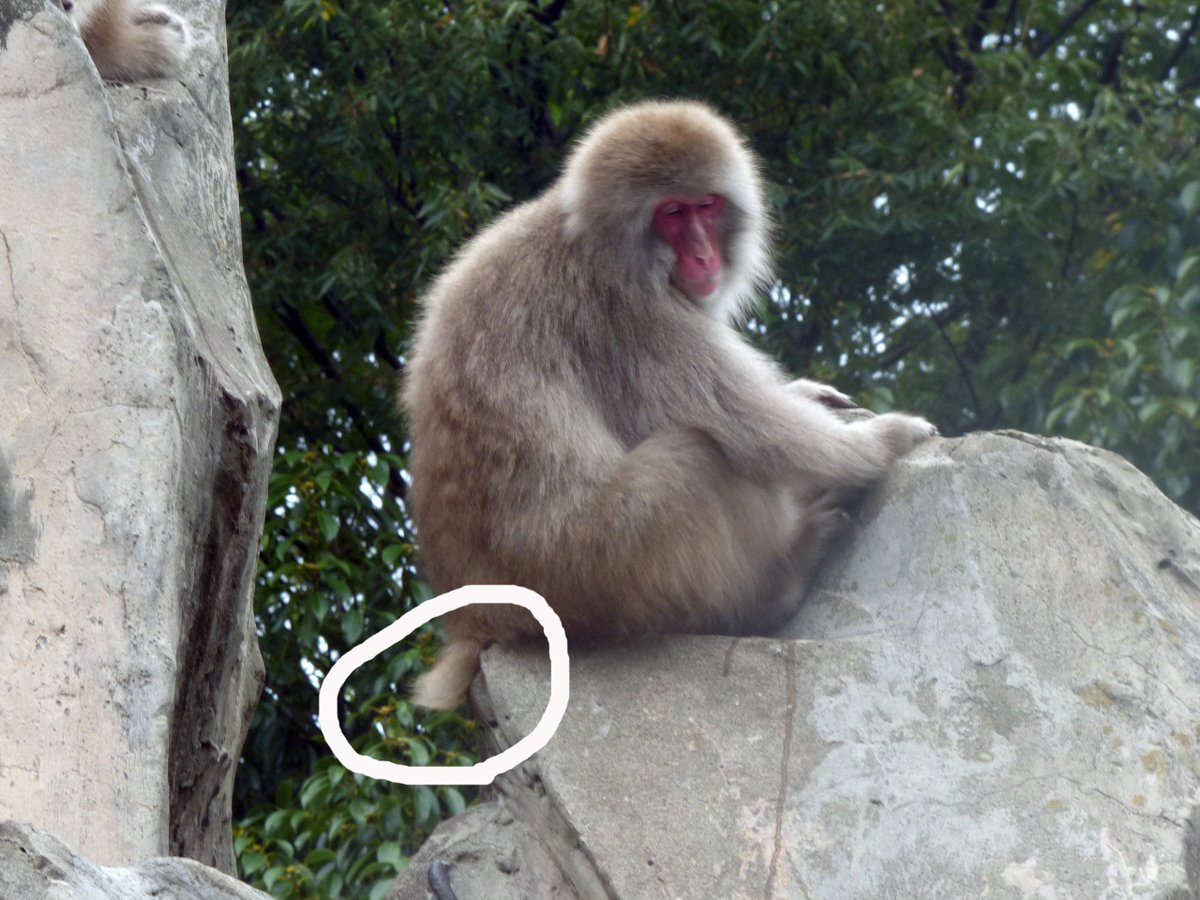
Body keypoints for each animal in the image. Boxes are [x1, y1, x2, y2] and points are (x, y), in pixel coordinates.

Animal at [403, 98, 936, 710]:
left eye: (706, 206)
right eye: (672, 213)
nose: (704, 255)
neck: (589, 239)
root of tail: (478, 624)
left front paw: (806, 393)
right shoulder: (632, 313)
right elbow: (751, 428)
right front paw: (886, 440)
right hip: (601, 569)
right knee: (697, 456)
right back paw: (773, 589)